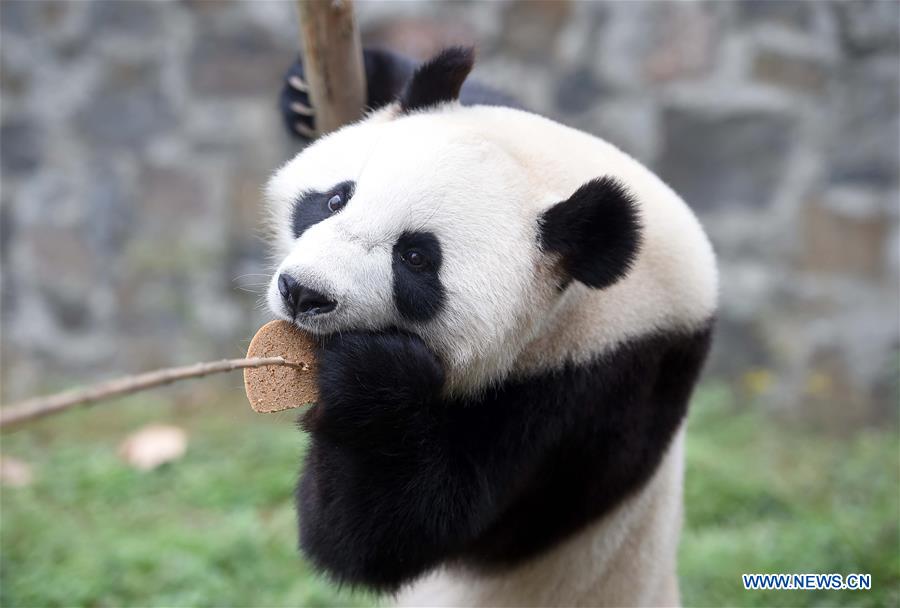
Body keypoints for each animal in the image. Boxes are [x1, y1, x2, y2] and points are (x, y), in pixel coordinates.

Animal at [265, 47, 717, 607]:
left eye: (416, 258)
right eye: (335, 199)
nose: (303, 292)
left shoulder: (594, 392)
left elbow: (385, 534)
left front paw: (369, 378)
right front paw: (311, 91)